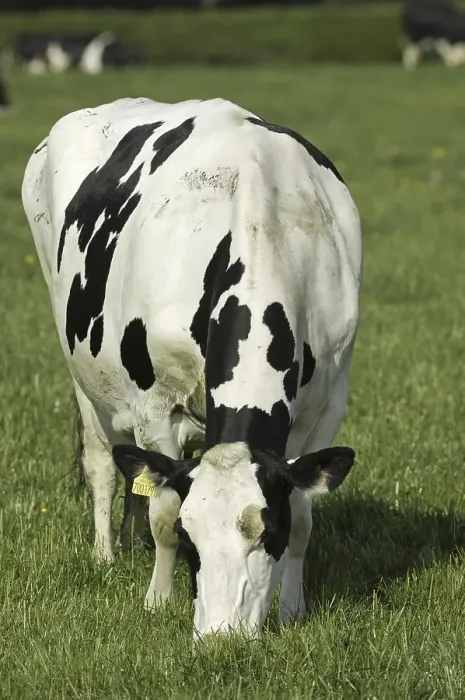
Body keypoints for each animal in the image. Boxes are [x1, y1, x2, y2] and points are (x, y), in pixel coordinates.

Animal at [22, 97, 362, 640]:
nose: (222, 637)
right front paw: (158, 601)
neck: (262, 225)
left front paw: (292, 609)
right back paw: (106, 554)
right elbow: (161, 507)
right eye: (189, 535)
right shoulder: (155, 404)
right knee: (104, 465)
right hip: (83, 376)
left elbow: (305, 514)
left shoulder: (326, 406)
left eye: (268, 531)